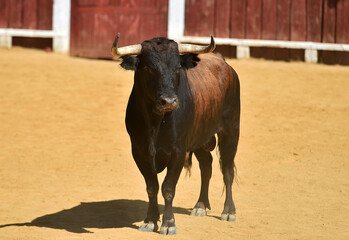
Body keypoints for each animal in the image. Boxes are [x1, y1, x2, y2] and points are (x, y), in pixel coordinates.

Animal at [111, 33, 239, 234]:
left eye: (178, 67)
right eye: (148, 68)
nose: (169, 101)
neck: (156, 121)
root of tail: (224, 63)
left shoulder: (178, 152)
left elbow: (168, 188)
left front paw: (168, 223)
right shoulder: (139, 152)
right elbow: (152, 187)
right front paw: (150, 220)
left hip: (231, 131)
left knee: (227, 170)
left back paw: (228, 211)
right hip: (200, 138)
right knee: (206, 166)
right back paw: (200, 206)